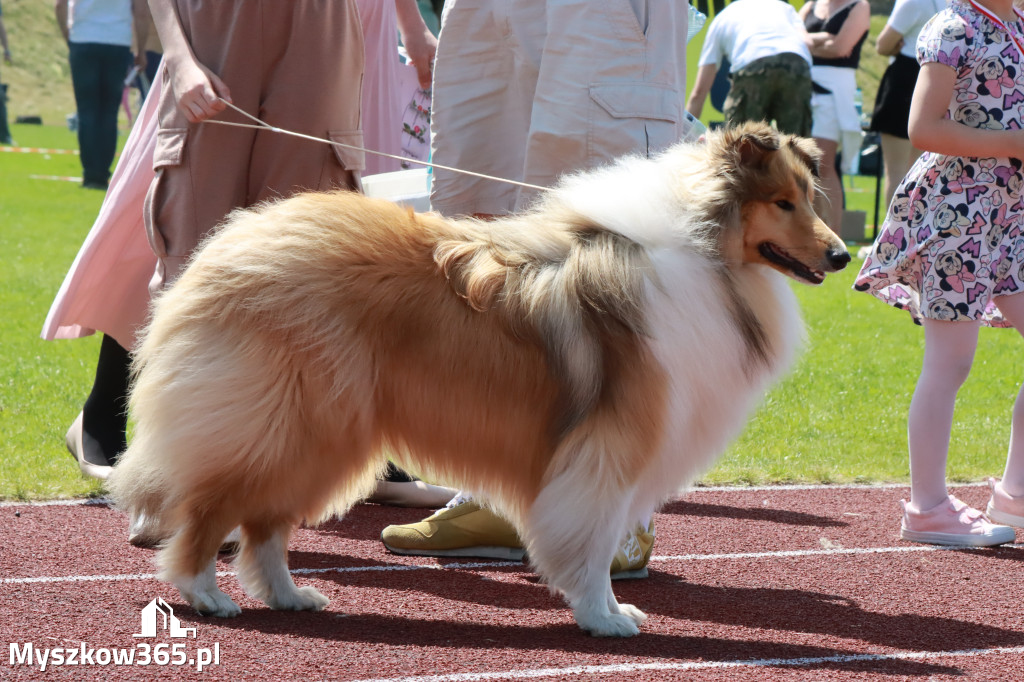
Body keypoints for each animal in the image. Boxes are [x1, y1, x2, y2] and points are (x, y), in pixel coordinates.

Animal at [110, 119, 847, 634]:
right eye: (783, 203)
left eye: (808, 198)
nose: (842, 256)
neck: (706, 248)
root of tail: (230, 247)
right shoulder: (604, 450)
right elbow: (593, 540)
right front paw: (604, 616)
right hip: (289, 423)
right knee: (209, 508)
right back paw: (205, 594)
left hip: (321, 433)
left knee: (264, 525)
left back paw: (290, 596)